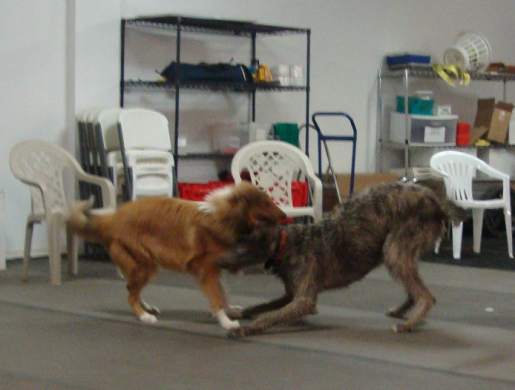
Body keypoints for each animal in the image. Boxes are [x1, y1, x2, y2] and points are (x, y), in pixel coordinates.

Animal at [65, 182, 286, 330]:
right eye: (266, 202)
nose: (285, 216)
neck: (223, 218)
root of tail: (112, 219)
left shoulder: (215, 270)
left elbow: (223, 293)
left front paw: (230, 310)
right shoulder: (206, 270)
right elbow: (216, 297)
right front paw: (227, 322)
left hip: (144, 266)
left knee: (131, 289)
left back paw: (147, 308)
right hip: (144, 265)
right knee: (130, 294)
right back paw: (144, 316)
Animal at [220, 181, 470, 336]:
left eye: (240, 241)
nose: (218, 261)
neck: (286, 244)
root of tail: (435, 200)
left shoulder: (304, 300)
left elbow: (271, 316)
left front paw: (243, 328)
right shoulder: (290, 294)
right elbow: (262, 306)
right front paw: (238, 313)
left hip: (395, 249)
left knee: (427, 297)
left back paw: (408, 325)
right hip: (401, 253)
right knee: (415, 290)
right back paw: (401, 311)